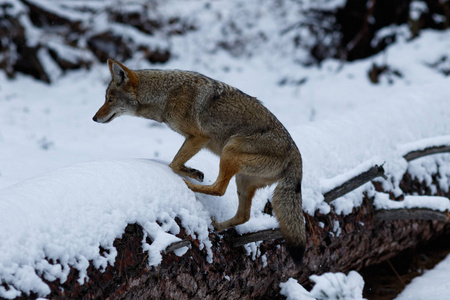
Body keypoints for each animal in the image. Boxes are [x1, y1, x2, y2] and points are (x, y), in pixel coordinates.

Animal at [94, 59, 306, 264]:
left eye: (109, 99)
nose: (94, 118)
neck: (166, 95)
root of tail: (297, 157)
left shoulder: (200, 138)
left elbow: (173, 164)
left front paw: (189, 174)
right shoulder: (193, 140)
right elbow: (177, 162)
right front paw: (193, 171)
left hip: (229, 150)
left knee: (219, 189)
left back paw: (189, 186)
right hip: (242, 179)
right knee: (243, 215)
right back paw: (218, 226)